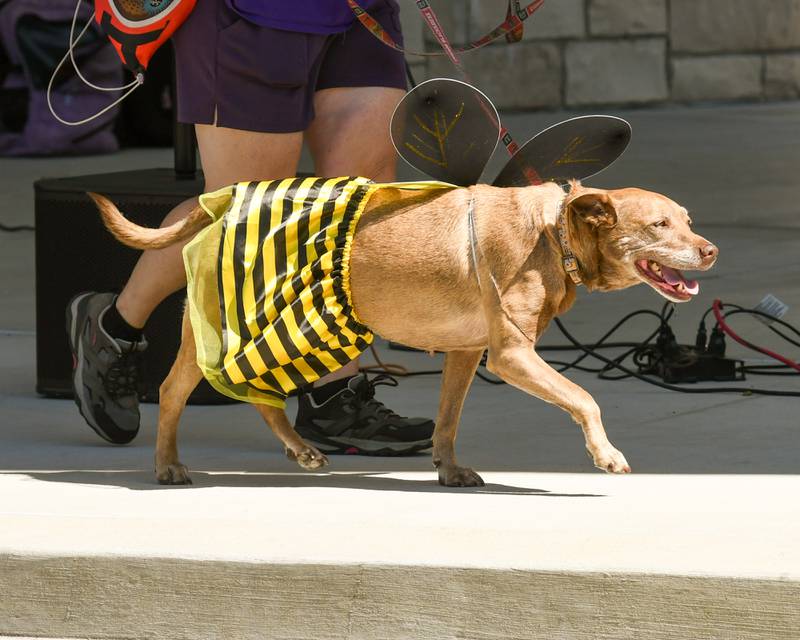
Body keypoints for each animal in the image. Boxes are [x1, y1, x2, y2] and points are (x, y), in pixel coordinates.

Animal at [89, 180, 720, 484]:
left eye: (688, 221)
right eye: (659, 225)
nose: (711, 250)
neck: (554, 230)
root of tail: (218, 205)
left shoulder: (468, 353)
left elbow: (448, 420)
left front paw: (449, 470)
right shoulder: (511, 355)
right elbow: (585, 397)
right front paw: (606, 454)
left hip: (293, 331)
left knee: (261, 397)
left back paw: (301, 450)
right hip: (237, 332)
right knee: (174, 392)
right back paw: (167, 466)